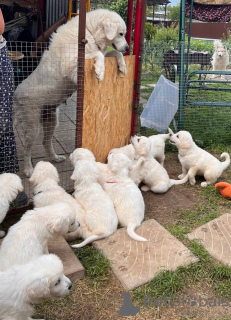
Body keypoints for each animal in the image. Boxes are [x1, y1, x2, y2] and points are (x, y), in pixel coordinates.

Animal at [13, 8, 129, 178]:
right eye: (121, 34)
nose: (127, 48)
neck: (89, 32)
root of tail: (15, 95)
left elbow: (113, 52)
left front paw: (122, 65)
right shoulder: (74, 67)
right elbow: (99, 54)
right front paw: (100, 71)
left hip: (51, 120)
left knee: (45, 142)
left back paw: (55, 158)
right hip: (32, 126)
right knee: (27, 149)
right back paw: (28, 169)